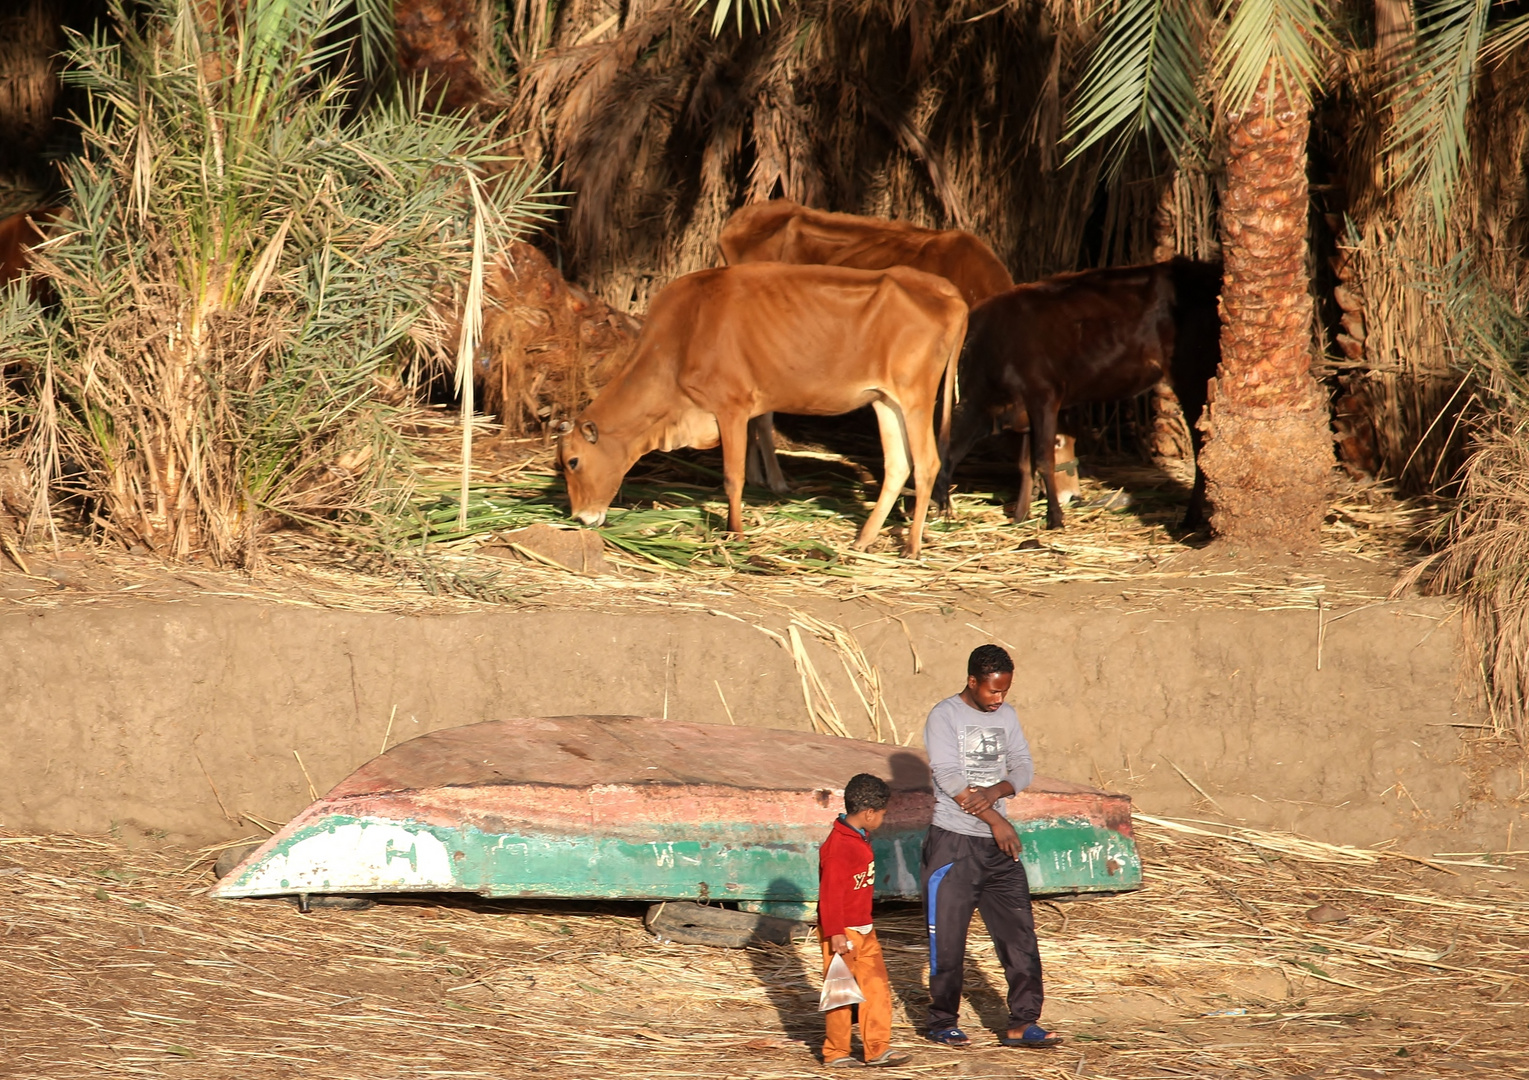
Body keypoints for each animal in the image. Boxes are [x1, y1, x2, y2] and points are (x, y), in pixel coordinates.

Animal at [559, 263, 966, 556]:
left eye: (572, 462)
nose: (580, 517)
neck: (681, 337)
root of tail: (948, 292)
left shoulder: (732, 407)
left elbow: (733, 476)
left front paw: (735, 533)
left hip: (915, 397)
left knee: (927, 464)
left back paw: (911, 546)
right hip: (886, 401)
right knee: (898, 465)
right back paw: (863, 540)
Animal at [935, 260, 1223, 529]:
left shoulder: (1044, 395)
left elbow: (1043, 459)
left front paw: (1054, 518)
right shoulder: (1025, 411)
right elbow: (1025, 466)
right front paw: (1020, 516)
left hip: (1193, 377)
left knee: (1201, 445)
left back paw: (1191, 518)